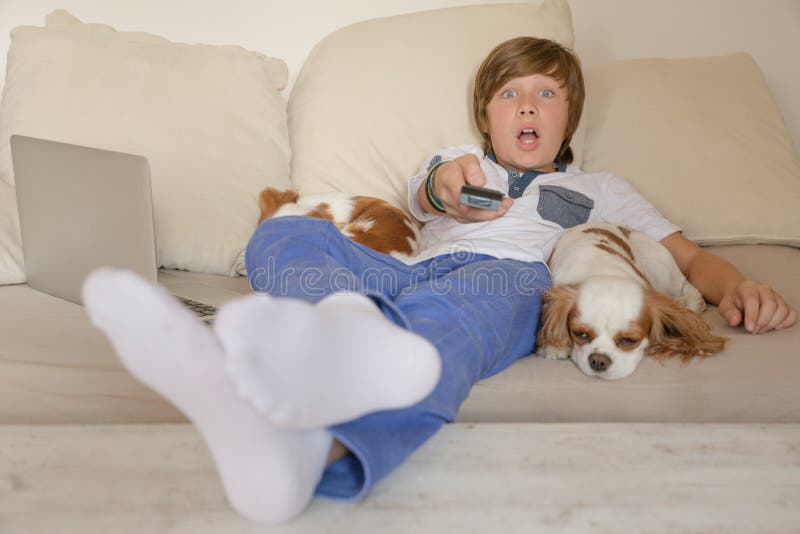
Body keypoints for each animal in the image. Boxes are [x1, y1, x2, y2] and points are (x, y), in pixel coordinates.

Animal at [536, 224, 724, 378]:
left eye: (629, 340)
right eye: (580, 334)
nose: (598, 360)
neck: (604, 271)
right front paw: (556, 346)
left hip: (663, 272)